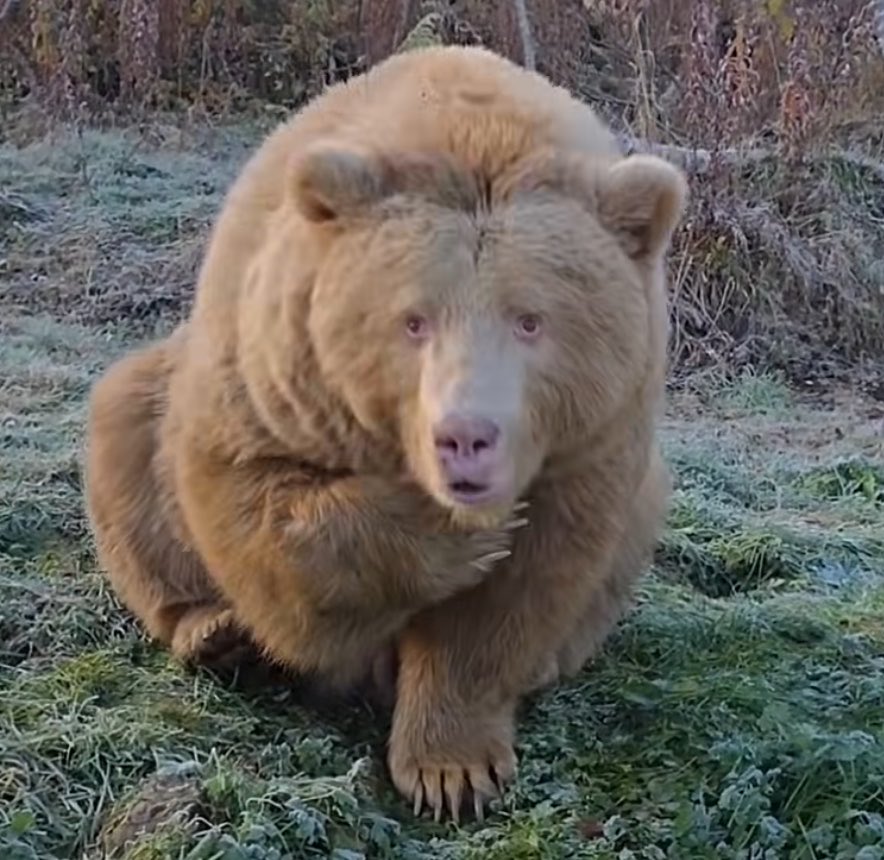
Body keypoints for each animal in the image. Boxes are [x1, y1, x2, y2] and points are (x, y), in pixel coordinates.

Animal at [83, 44, 686, 824]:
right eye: (413, 319)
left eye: (531, 320)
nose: (466, 437)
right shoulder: (279, 368)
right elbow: (259, 508)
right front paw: (449, 537)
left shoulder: (590, 443)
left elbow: (511, 599)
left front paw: (453, 769)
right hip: (151, 406)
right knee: (124, 436)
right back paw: (212, 631)